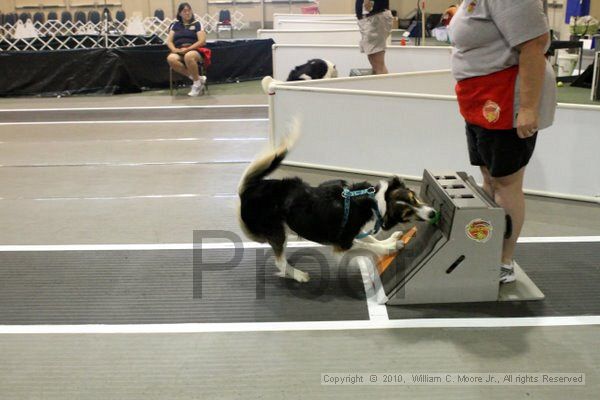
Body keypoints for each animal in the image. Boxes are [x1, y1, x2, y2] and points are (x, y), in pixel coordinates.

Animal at [237, 123, 438, 282]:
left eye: (414, 197)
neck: (372, 202)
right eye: (407, 213)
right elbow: (368, 244)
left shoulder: (354, 230)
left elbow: (369, 238)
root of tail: (248, 190)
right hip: (277, 231)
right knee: (279, 261)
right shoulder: (342, 243)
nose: (433, 213)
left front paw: (388, 241)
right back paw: (298, 275)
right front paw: (389, 247)